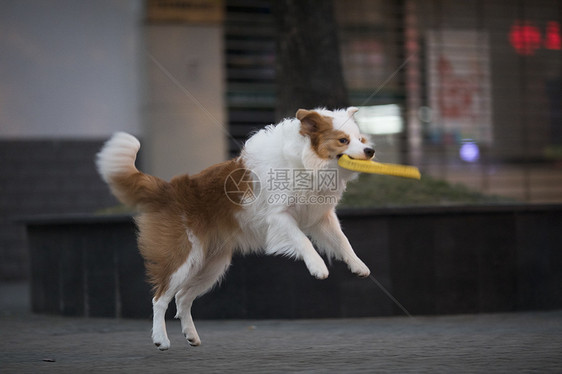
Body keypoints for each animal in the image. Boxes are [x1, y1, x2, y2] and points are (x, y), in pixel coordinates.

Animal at [96, 106, 372, 350]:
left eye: (361, 139)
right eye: (343, 140)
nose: (370, 150)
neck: (305, 162)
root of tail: (169, 189)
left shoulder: (320, 218)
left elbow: (342, 240)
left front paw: (358, 265)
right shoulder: (279, 217)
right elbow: (302, 240)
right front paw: (317, 267)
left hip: (210, 265)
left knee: (182, 298)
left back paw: (191, 335)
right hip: (183, 257)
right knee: (160, 298)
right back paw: (160, 339)